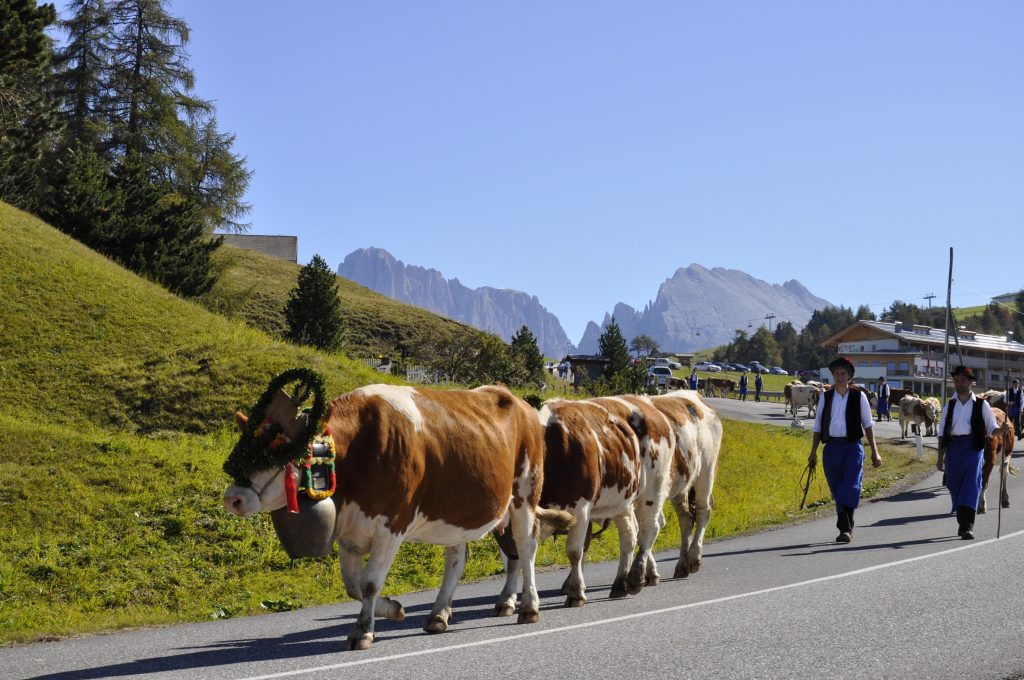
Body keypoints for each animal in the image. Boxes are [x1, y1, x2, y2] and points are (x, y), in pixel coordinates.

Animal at [223, 368, 573, 651]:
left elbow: (369, 582)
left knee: (525, 547)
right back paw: (438, 615)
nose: (232, 499)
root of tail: (514, 397)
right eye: (240, 450)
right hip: (458, 510)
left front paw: (362, 632)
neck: (359, 447)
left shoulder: (391, 524)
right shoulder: (350, 529)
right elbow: (353, 585)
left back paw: (529, 607)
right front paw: (393, 609)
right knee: (457, 559)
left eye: (276, 453)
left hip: (525, 490)